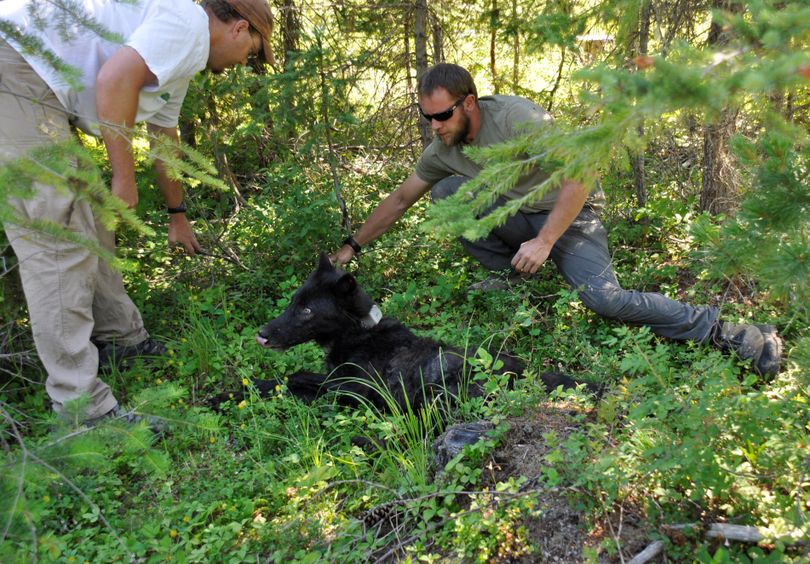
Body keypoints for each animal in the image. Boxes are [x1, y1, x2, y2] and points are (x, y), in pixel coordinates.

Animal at [249, 254, 592, 410]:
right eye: (293, 302)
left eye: (307, 310)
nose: (261, 334)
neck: (360, 333)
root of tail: (526, 376)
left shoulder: (348, 389)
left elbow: (295, 378)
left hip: (435, 387)